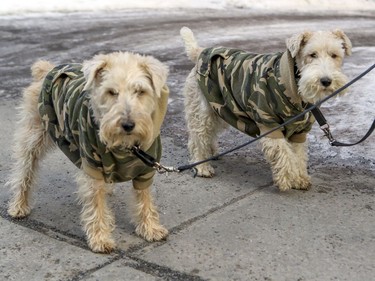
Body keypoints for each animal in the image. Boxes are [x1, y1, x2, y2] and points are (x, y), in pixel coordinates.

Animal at [6, 51, 169, 253]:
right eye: (111, 92)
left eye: (140, 91)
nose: (128, 125)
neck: (126, 146)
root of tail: (47, 69)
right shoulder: (93, 165)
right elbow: (95, 202)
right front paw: (100, 238)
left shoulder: (146, 169)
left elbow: (144, 198)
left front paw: (149, 227)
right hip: (33, 138)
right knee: (23, 172)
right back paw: (19, 205)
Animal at [181, 26, 352, 190]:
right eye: (312, 54)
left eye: (334, 55)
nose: (326, 81)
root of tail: (200, 52)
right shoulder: (269, 124)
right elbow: (284, 153)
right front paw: (288, 178)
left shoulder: (299, 131)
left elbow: (298, 156)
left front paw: (300, 179)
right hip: (202, 111)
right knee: (197, 139)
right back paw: (202, 167)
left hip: (220, 108)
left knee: (209, 134)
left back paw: (212, 153)